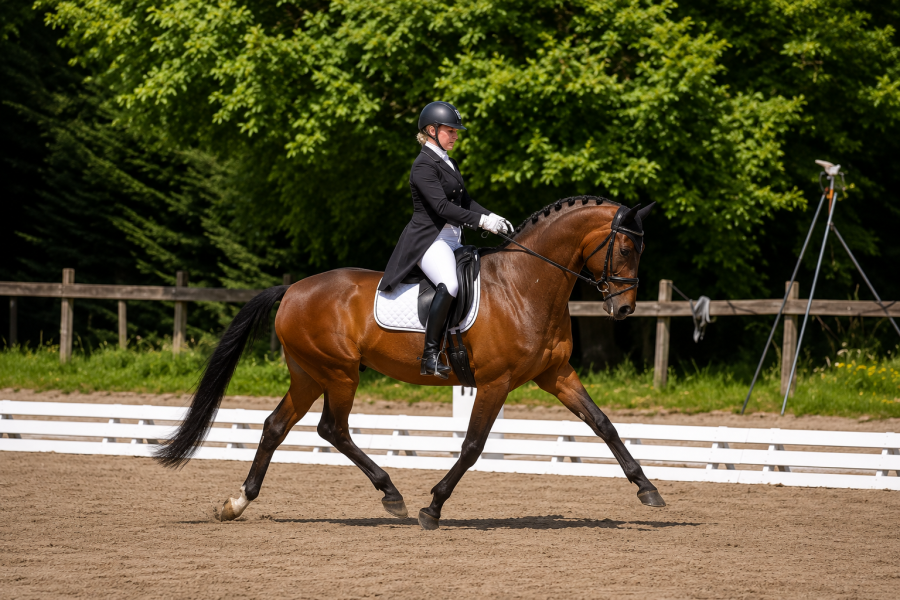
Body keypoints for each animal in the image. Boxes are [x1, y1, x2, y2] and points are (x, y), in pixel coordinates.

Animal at [155, 196, 666, 530]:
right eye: (625, 248)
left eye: (641, 249)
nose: (624, 309)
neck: (526, 284)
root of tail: (293, 289)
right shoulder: (495, 382)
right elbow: (473, 445)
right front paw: (432, 508)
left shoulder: (556, 375)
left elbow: (604, 424)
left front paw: (647, 489)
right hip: (339, 373)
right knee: (332, 429)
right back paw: (393, 496)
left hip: (309, 374)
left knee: (276, 426)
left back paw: (237, 503)